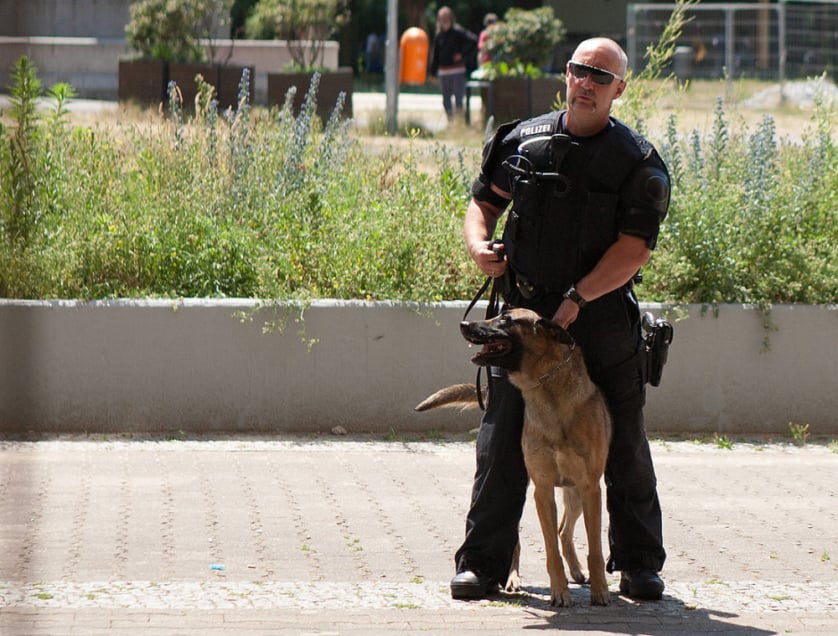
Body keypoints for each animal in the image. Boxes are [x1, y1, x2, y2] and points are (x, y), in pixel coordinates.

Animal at [416, 308, 612, 608]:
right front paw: (559, 591)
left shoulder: (590, 488)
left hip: (577, 494)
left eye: (506, 319)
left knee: (564, 530)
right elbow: (551, 552)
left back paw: (578, 571)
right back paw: (512, 578)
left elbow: (595, 549)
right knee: (520, 539)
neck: (550, 394)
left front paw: (600, 589)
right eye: (497, 313)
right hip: (526, 494)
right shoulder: (543, 490)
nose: (464, 324)